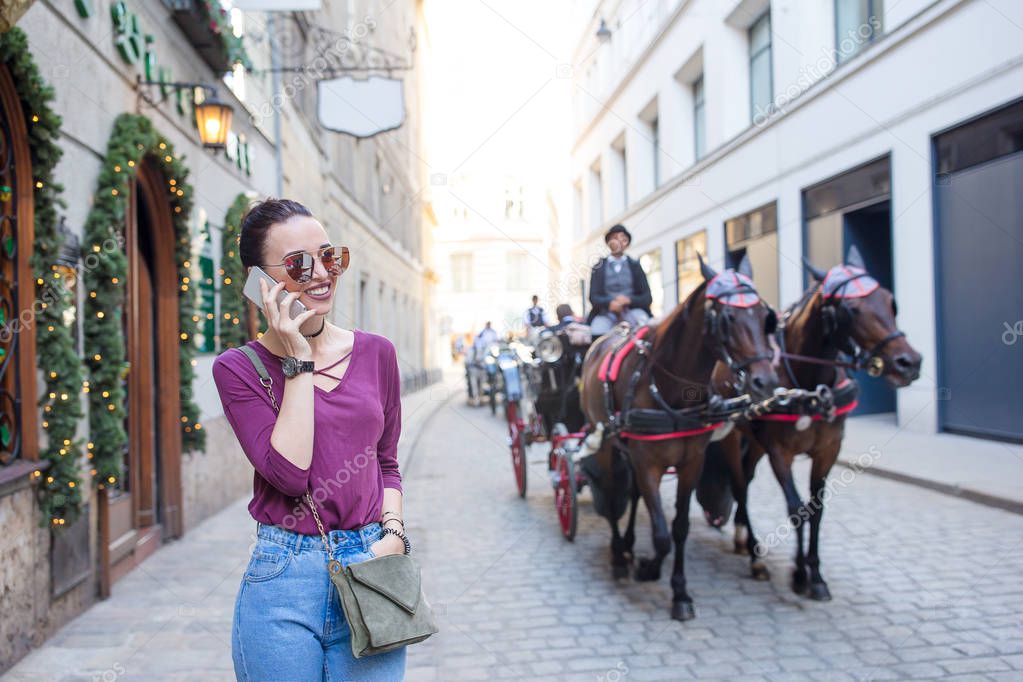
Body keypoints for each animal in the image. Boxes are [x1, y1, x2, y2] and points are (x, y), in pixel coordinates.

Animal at [581, 253, 777, 621]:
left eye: (765, 317)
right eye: (728, 317)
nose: (766, 382)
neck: (669, 386)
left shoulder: (690, 462)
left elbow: (679, 527)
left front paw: (680, 591)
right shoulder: (647, 462)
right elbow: (660, 534)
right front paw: (648, 569)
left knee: (636, 496)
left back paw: (629, 545)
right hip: (605, 442)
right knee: (614, 494)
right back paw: (618, 554)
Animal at [707, 248, 924, 601]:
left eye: (890, 300)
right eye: (850, 309)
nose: (909, 362)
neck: (809, 385)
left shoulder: (827, 450)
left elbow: (817, 510)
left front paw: (817, 575)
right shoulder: (780, 453)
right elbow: (796, 508)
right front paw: (799, 574)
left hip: (756, 443)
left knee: (748, 479)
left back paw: (741, 536)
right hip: (730, 435)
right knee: (739, 485)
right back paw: (754, 555)